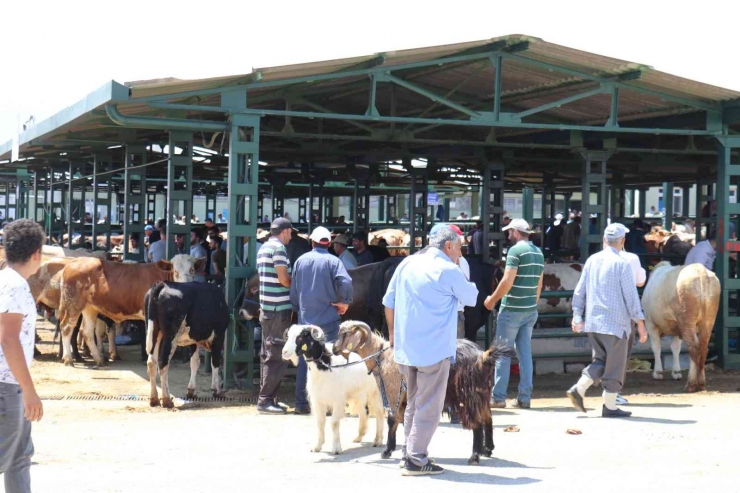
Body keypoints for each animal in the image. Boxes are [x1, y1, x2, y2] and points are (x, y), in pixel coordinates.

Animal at [57, 254, 202, 366]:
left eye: (192, 270)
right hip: (73, 303)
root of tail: (73, 262)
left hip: (89, 307)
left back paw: (99, 359)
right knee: (67, 327)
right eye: (175, 271)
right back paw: (69, 359)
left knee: (87, 332)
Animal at [143, 280, 227, 408]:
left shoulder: (193, 340)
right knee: (163, 362)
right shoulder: (219, 335)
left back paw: (154, 399)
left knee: (152, 362)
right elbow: (215, 362)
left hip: (154, 332)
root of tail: (162, 284)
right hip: (171, 336)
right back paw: (167, 400)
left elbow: (195, 363)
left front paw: (191, 391)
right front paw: (217, 391)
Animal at [282, 322, 384, 454]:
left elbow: (334, 423)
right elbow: (320, 423)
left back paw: (378, 440)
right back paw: (358, 437)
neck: (326, 366)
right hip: (358, 395)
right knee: (364, 411)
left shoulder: (337, 400)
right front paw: (317, 446)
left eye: (300, 337)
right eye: (288, 336)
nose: (284, 352)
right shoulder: (318, 401)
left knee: (379, 413)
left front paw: (336, 448)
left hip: (375, 393)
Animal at [334, 320, 516, 464]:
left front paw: (387, 451)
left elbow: (392, 421)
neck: (382, 357)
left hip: (467, 395)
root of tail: (483, 356)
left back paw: (475, 457)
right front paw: (403, 449)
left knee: (477, 423)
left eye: (344, 333)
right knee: (488, 419)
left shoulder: (393, 394)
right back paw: (488, 449)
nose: (334, 349)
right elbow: (405, 420)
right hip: (482, 393)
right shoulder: (404, 397)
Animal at [640, 262, 720, 392]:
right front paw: (676, 372)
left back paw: (691, 384)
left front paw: (658, 372)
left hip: (686, 319)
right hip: (708, 319)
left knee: (694, 348)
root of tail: (700, 270)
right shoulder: (678, 329)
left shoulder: (650, 323)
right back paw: (701, 383)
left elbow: (656, 347)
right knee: (702, 348)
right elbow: (675, 348)